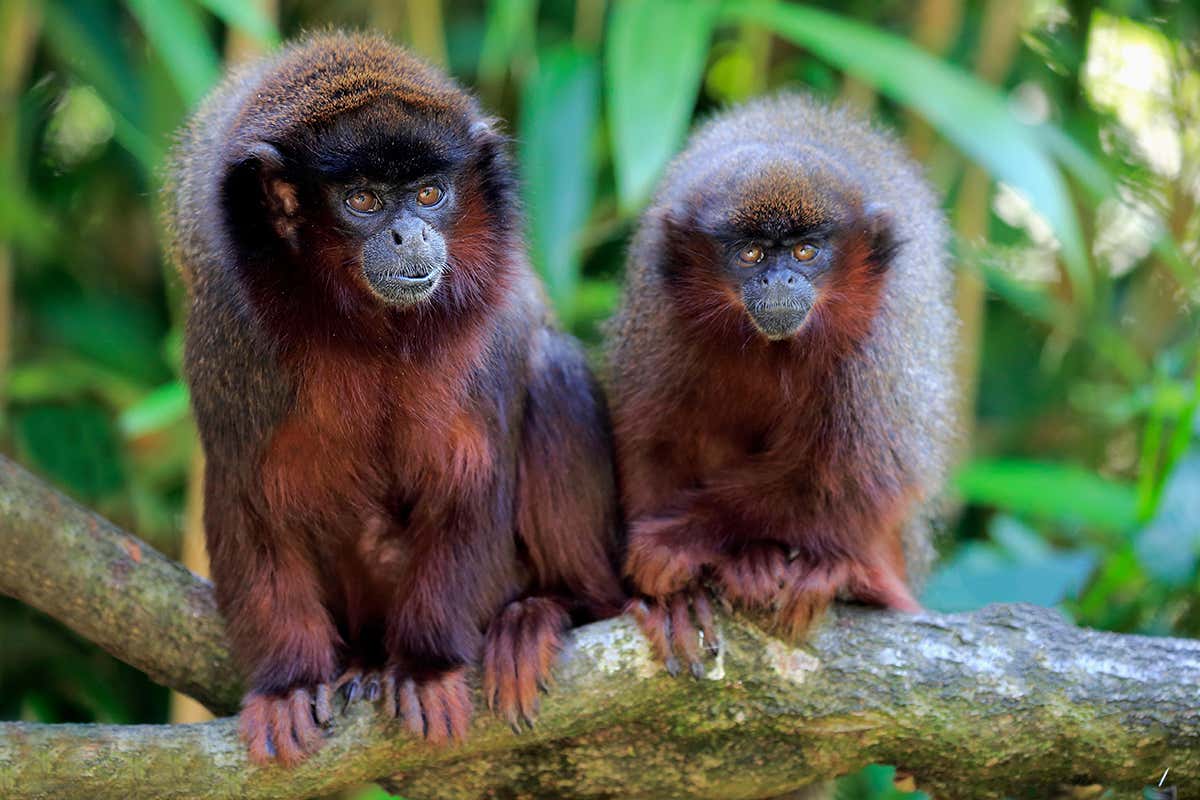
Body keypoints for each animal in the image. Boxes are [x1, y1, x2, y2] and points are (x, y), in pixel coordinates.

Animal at [163, 32, 624, 765]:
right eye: (363, 201)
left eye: (430, 193)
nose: (411, 233)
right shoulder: (228, 338)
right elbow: (250, 499)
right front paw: (289, 683)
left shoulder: (484, 333)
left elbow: (471, 481)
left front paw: (427, 666)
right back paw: (364, 658)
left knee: (551, 372)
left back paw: (543, 611)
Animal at [604, 93, 956, 674]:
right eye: (751, 254)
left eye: (805, 252)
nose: (779, 280)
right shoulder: (658, 308)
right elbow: (653, 440)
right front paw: (673, 595)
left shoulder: (881, 337)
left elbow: (853, 474)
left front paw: (678, 540)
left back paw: (838, 573)